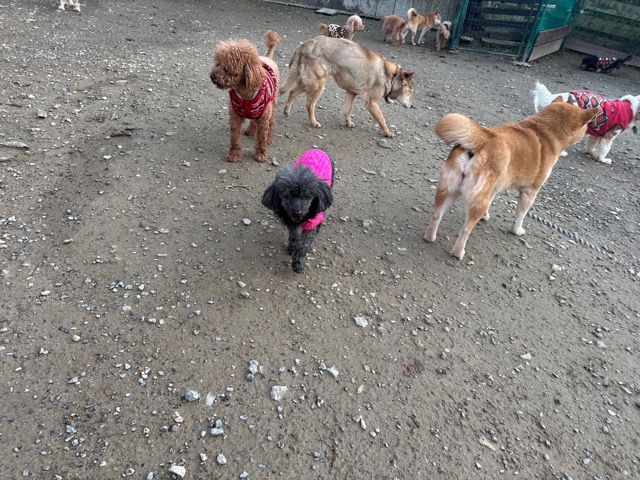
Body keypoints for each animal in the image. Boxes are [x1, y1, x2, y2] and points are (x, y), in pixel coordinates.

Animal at [210, 30, 280, 162]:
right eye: (217, 63)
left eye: (227, 68)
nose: (212, 76)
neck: (245, 94)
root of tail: (268, 57)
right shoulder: (235, 117)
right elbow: (234, 139)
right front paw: (234, 155)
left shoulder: (263, 117)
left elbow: (262, 137)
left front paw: (261, 154)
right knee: (253, 120)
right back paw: (251, 130)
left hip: (272, 104)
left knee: (271, 122)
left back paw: (268, 138)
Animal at [280, 36, 414, 138]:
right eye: (410, 92)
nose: (413, 106)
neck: (391, 76)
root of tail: (305, 44)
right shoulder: (372, 103)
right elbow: (382, 120)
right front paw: (387, 132)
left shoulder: (351, 92)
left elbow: (347, 110)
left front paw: (348, 123)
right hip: (318, 85)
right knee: (309, 104)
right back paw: (313, 122)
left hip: (308, 82)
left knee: (292, 91)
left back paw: (286, 110)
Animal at [423, 98, 598, 260]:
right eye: (586, 126)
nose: (587, 131)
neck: (543, 131)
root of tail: (483, 138)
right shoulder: (530, 192)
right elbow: (520, 216)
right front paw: (517, 230)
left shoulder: (494, 187)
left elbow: (491, 202)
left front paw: (486, 216)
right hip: (475, 201)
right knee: (466, 229)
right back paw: (458, 252)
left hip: (448, 189)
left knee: (436, 215)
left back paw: (430, 237)